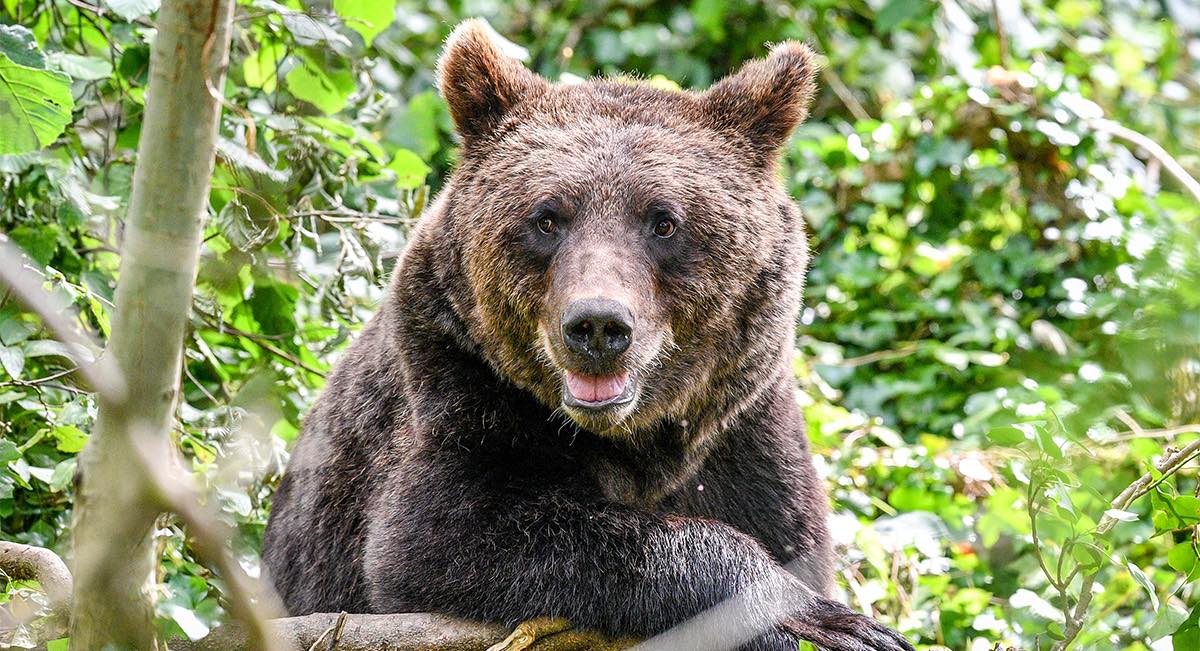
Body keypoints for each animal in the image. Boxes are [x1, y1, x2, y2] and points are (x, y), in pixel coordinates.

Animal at [261, 19, 913, 651]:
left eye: (663, 221)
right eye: (547, 217)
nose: (598, 325)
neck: (637, 439)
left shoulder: (744, 436)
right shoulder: (459, 391)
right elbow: (443, 536)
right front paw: (819, 620)